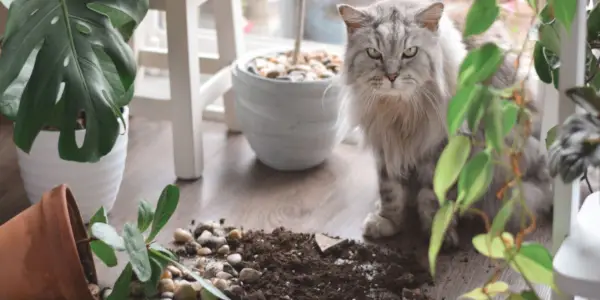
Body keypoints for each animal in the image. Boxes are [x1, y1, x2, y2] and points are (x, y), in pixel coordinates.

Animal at [336, 0, 552, 248]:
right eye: (374, 53)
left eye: (409, 52)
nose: (391, 76)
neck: (401, 112)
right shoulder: (385, 145)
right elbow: (390, 191)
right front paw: (387, 222)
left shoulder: (443, 147)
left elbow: (434, 195)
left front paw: (438, 234)